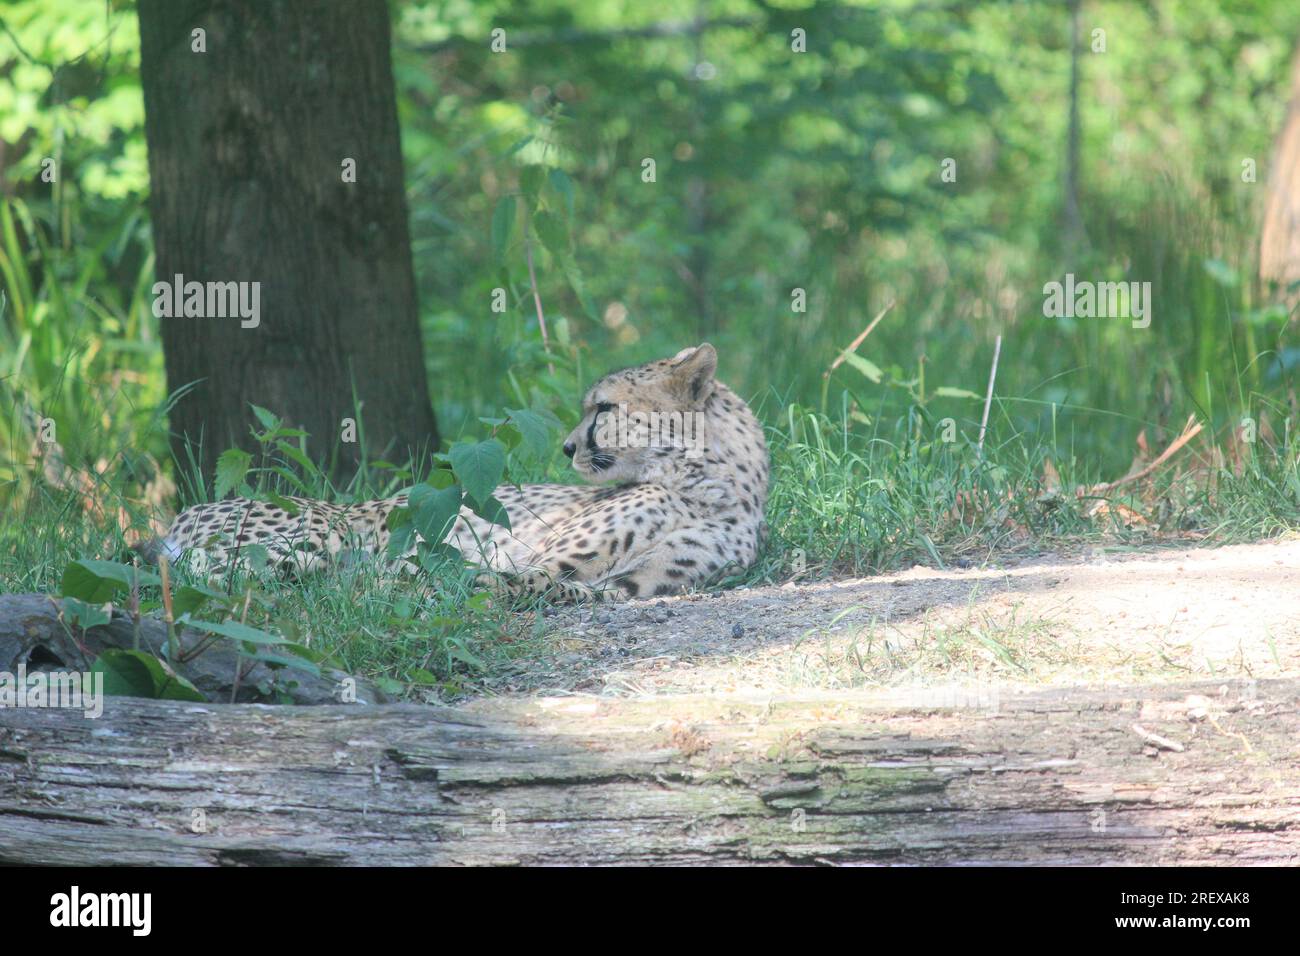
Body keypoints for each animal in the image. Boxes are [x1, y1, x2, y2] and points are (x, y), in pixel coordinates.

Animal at [162, 340, 769, 600]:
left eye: (604, 408)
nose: (568, 447)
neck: (707, 486)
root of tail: (183, 514)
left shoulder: (635, 584)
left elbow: (567, 589)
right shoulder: (534, 555)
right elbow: (510, 577)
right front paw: (414, 581)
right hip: (327, 535)